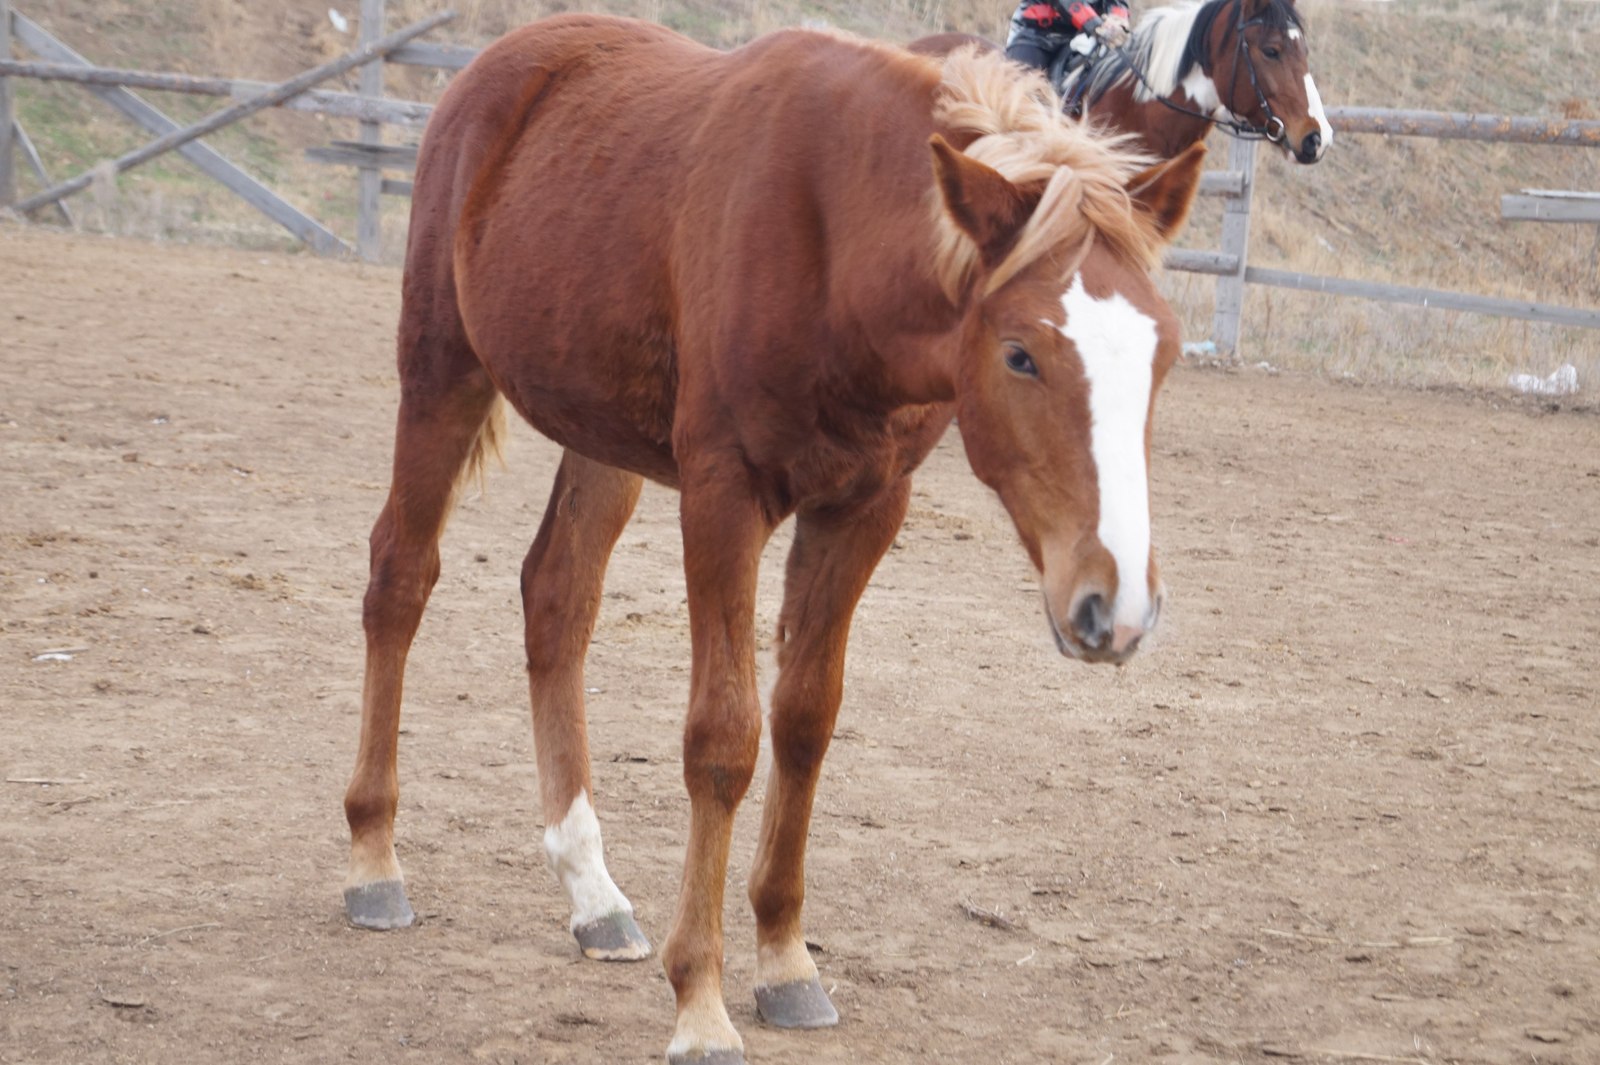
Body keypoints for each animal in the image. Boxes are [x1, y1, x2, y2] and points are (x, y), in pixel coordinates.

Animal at [347, 16, 1203, 1061]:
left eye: (1163, 354)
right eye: (1020, 353)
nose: (1115, 608)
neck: (836, 252)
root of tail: (499, 67)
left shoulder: (864, 508)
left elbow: (804, 719)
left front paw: (788, 962)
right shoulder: (723, 498)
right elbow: (724, 737)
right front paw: (702, 1002)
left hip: (605, 439)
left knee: (557, 597)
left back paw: (593, 895)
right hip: (442, 371)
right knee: (400, 577)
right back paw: (374, 860)